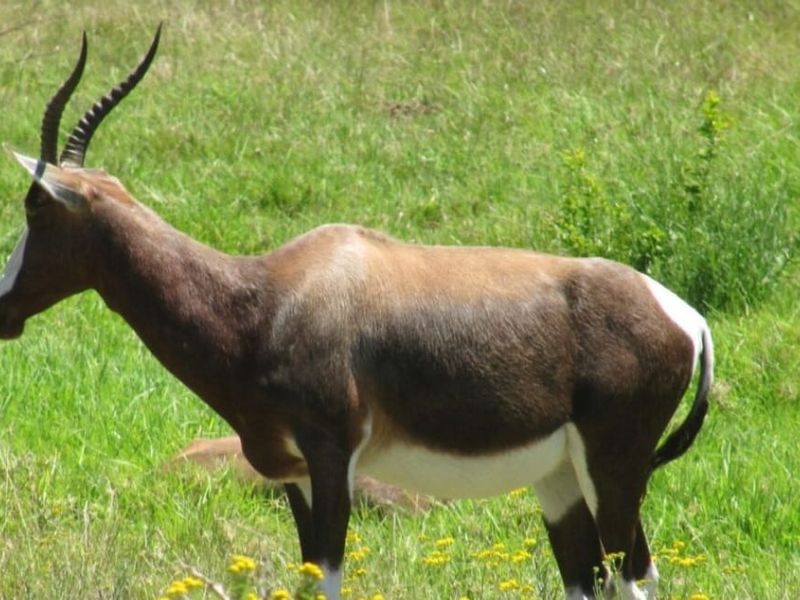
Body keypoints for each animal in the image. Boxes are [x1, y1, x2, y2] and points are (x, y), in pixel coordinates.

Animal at [1, 28, 714, 600]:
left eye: (34, 204)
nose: (4, 307)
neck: (265, 297)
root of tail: (688, 318)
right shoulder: (294, 475)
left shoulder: (331, 457)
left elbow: (329, 578)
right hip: (560, 478)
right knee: (592, 576)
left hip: (613, 469)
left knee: (635, 574)